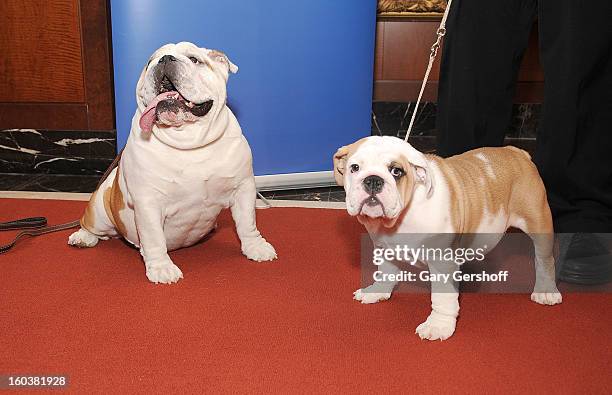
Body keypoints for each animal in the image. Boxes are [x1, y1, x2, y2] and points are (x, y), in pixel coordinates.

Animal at [68, 41, 276, 284]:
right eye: (149, 62)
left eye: (195, 59)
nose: (165, 59)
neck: (189, 141)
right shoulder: (148, 203)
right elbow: (154, 238)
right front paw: (161, 268)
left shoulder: (243, 188)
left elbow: (247, 222)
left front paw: (256, 247)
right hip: (100, 210)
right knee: (90, 224)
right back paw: (82, 237)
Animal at [338, 136, 560, 340]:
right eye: (354, 168)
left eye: (396, 171)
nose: (372, 180)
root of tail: (516, 151)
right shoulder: (384, 247)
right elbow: (386, 271)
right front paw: (378, 291)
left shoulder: (442, 261)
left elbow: (442, 297)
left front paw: (438, 325)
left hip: (538, 221)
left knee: (545, 259)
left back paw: (546, 290)